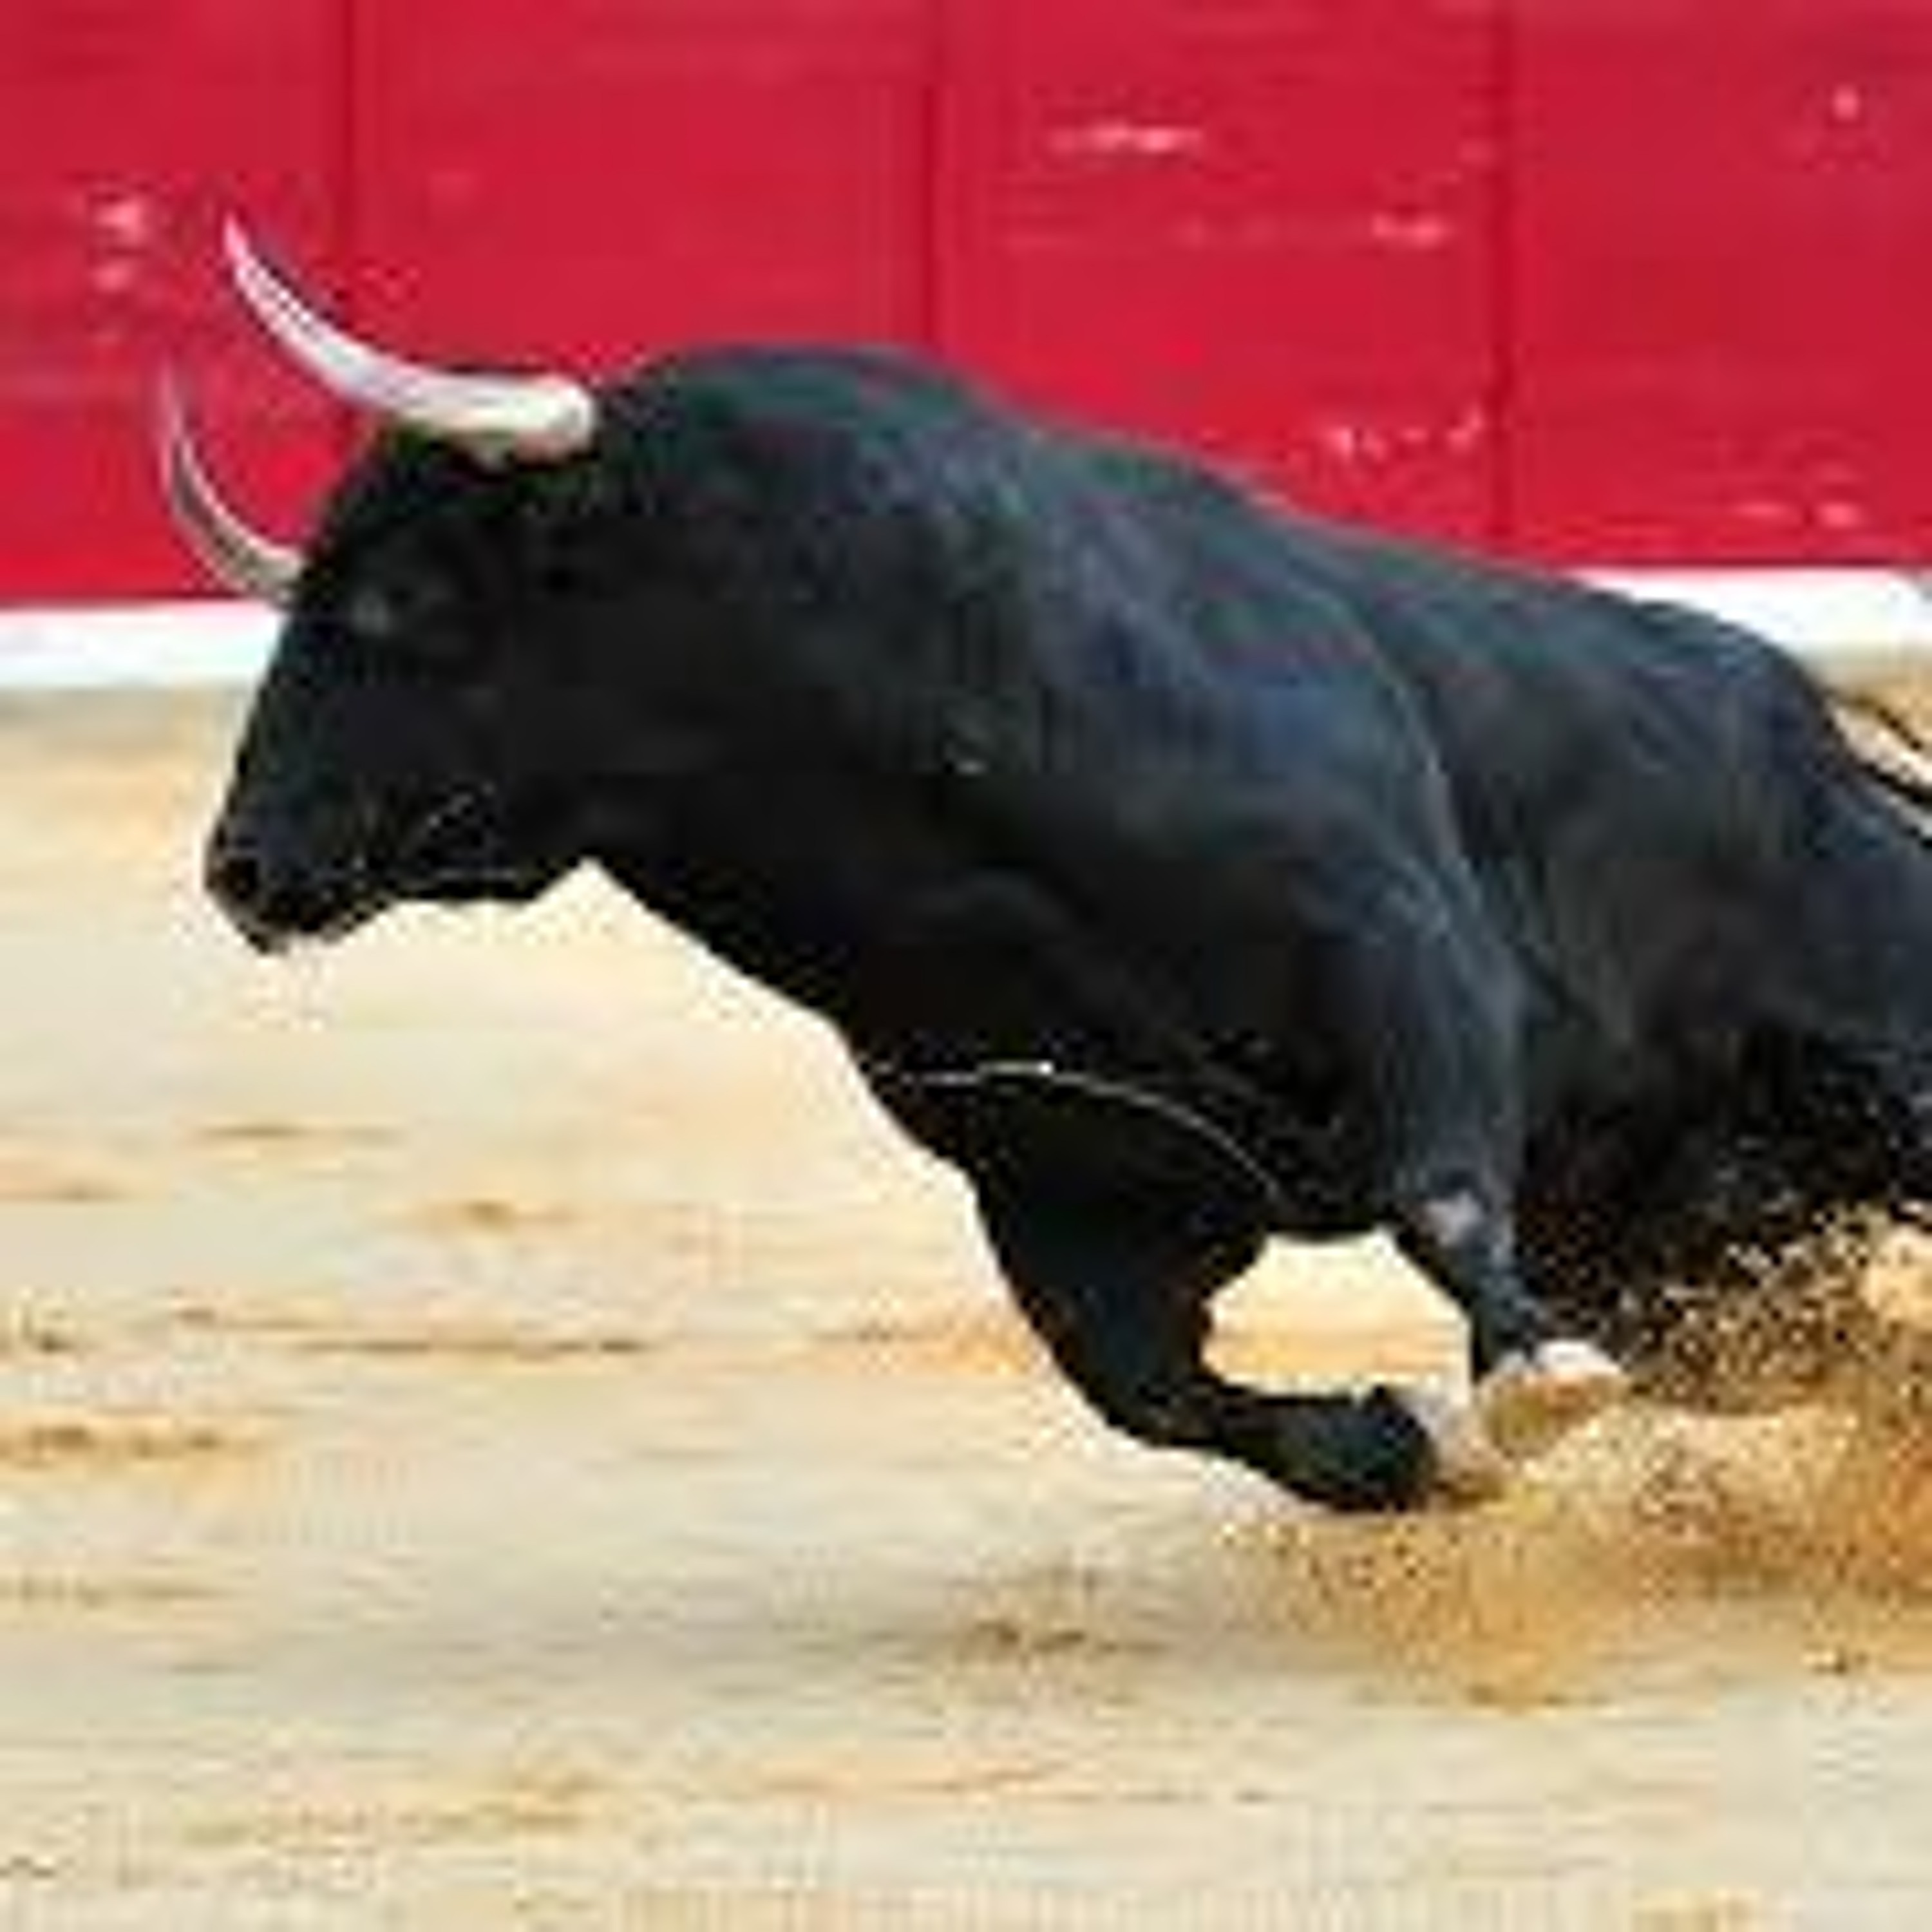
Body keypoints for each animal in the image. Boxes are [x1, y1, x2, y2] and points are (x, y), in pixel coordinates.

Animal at [163, 222, 1932, 1515]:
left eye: (393, 604)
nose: (244, 867)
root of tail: (1819, 737)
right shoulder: (1057, 1178)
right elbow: (1149, 1390)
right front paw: (1408, 1446)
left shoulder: (1399, 943)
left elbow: (1434, 1191)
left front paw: (1528, 1384)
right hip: (1674, 1249)